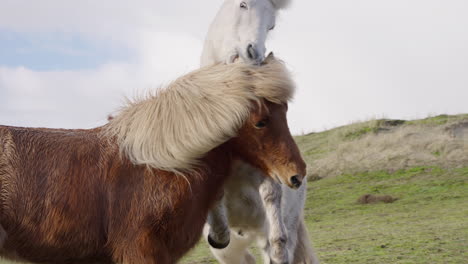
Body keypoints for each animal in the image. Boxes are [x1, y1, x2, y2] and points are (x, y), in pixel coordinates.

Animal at [200, 0, 318, 264]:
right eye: (242, 5)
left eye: (271, 25)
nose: (254, 54)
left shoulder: (272, 175)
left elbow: (274, 208)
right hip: (231, 250)